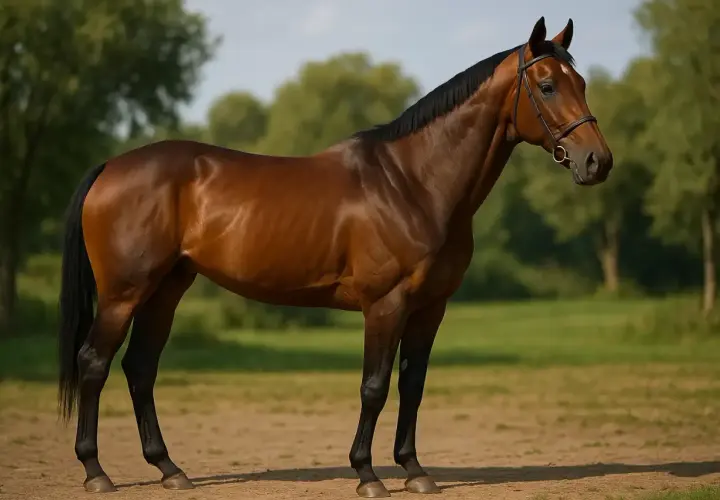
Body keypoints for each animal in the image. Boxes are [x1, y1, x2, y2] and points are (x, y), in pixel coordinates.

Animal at [56, 16, 612, 498]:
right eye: (546, 85)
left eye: (582, 82)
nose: (597, 162)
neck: (413, 182)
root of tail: (110, 167)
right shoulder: (386, 305)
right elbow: (374, 386)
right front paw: (368, 474)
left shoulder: (430, 308)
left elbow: (412, 384)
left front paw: (414, 470)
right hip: (124, 294)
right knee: (94, 363)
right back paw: (96, 472)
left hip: (166, 290)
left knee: (140, 368)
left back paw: (170, 469)